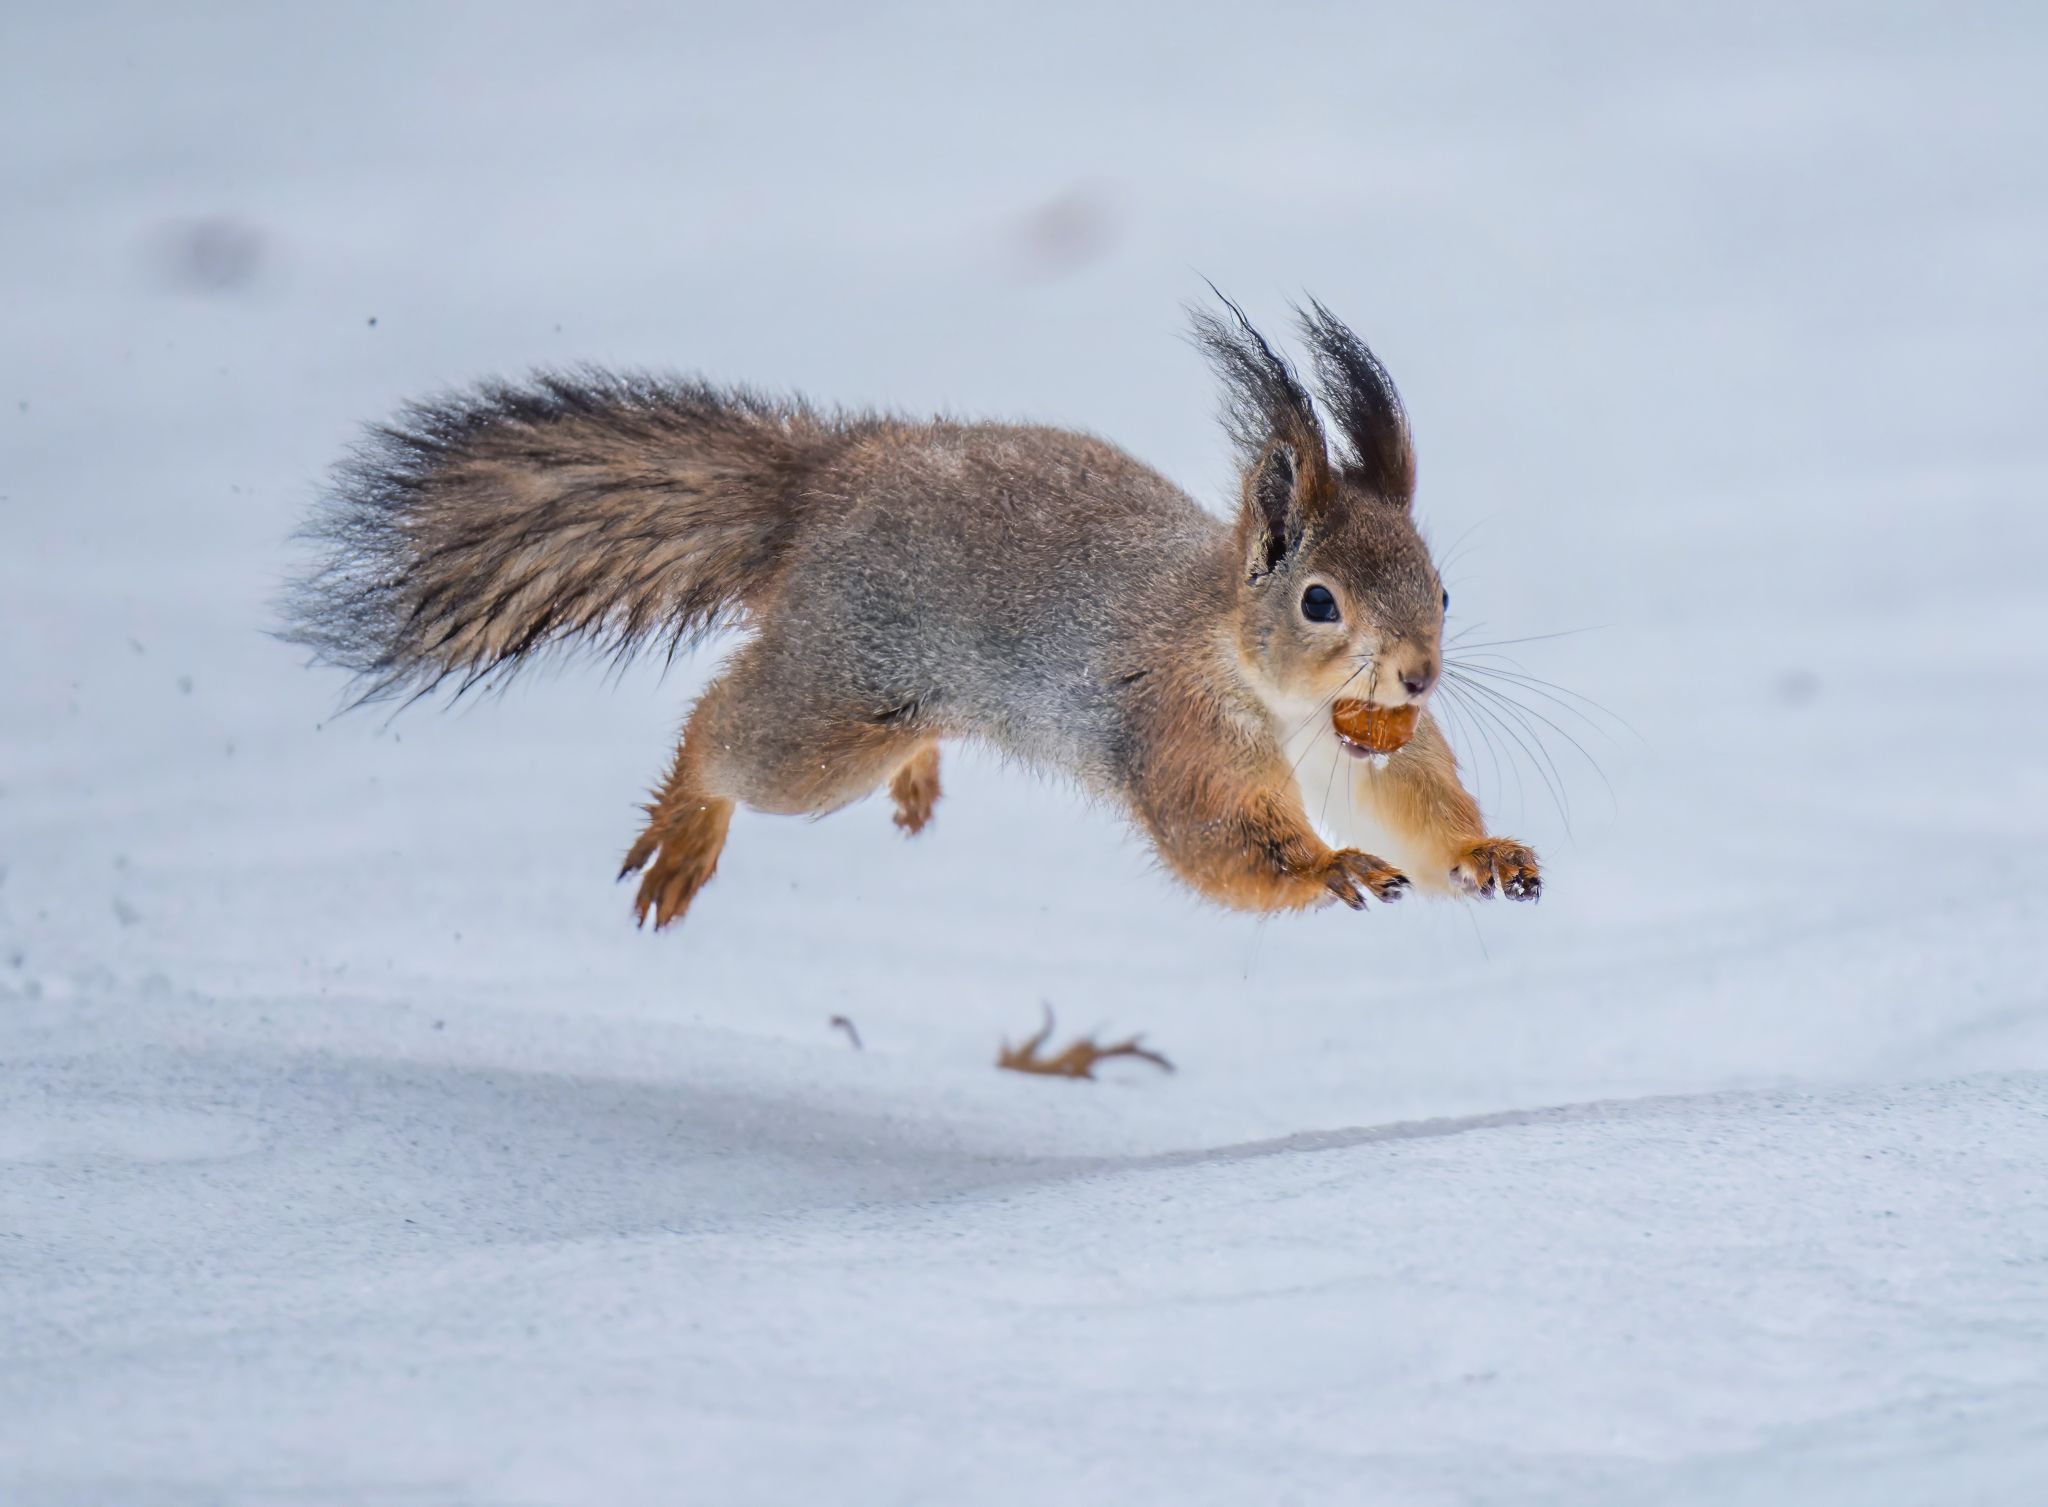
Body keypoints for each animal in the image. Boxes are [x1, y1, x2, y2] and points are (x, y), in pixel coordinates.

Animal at [284, 296, 1540, 929]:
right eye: (1319, 600)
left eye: (1438, 585)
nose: (1419, 675)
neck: (1273, 691)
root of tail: (825, 484)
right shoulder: (1177, 735)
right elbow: (1224, 841)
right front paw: (1330, 870)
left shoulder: (1373, 751)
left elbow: (1415, 809)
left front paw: (1484, 852)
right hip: (838, 699)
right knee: (724, 729)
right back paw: (686, 828)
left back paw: (917, 776)